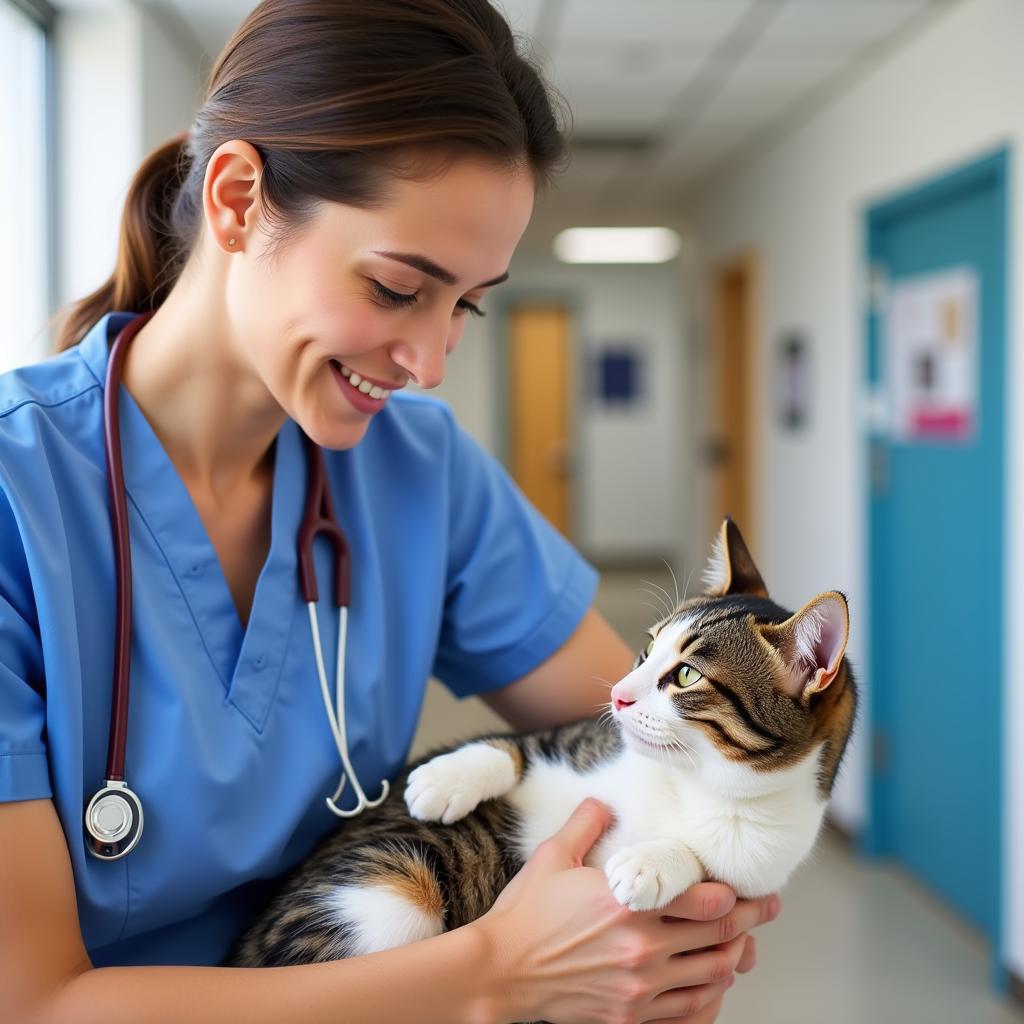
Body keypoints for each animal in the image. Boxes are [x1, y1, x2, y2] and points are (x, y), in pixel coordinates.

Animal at [224, 520, 856, 966]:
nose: (619, 696)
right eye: (647, 650)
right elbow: (518, 745)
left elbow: (710, 863)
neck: (686, 782)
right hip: (387, 898)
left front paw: (652, 863)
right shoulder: (575, 740)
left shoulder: (755, 870)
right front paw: (444, 778)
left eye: (687, 675)